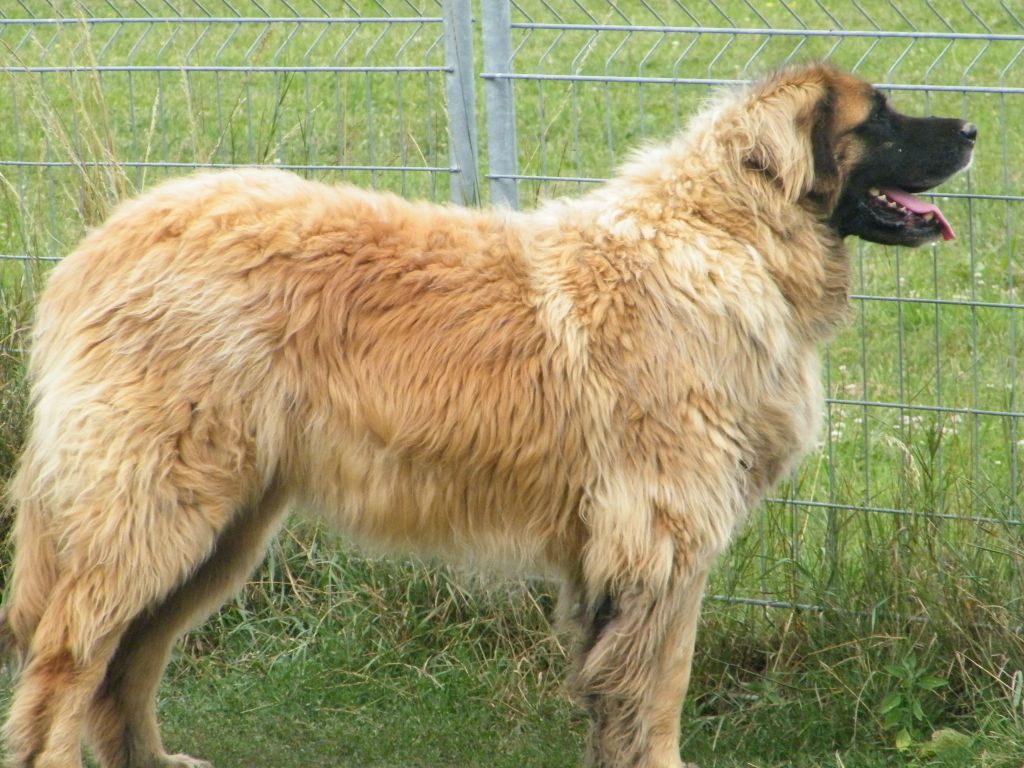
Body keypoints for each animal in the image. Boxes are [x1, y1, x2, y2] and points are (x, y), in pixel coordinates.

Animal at [2, 66, 974, 768]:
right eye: (881, 119)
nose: (970, 131)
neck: (730, 234)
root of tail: (98, 247)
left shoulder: (620, 555)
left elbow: (615, 694)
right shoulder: (665, 540)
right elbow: (661, 690)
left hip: (220, 529)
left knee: (125, 664)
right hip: (155, 512)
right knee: (67, 662)